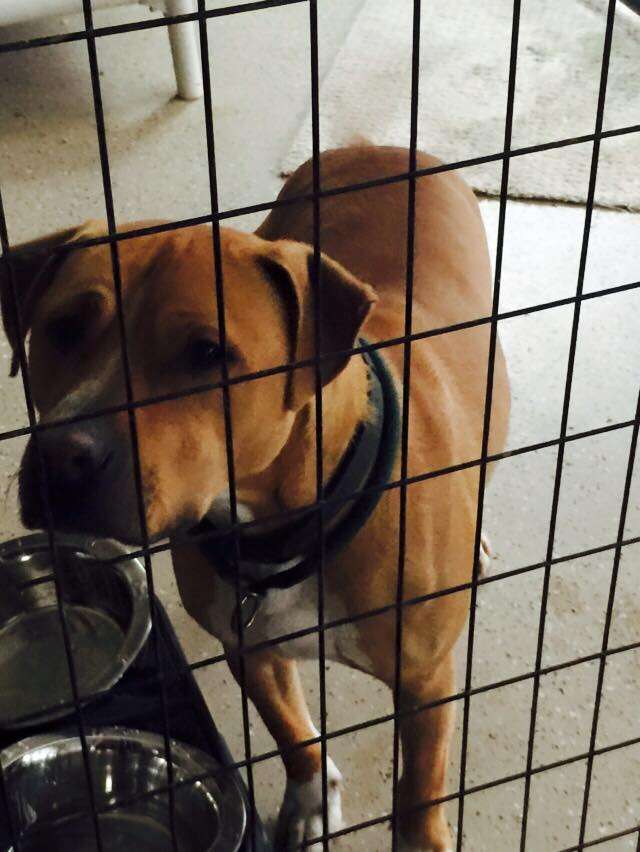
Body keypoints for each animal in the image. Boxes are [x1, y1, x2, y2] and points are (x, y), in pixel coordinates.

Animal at [1, 148, 510, 852]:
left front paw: (419, 837)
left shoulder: (425, 679)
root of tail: (377, 147)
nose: (62, 457)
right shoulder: (248, 647)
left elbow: (420, 789)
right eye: (63, 327)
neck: (281, 528)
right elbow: (292, 733)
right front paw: (312, 799)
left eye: (207, 352)